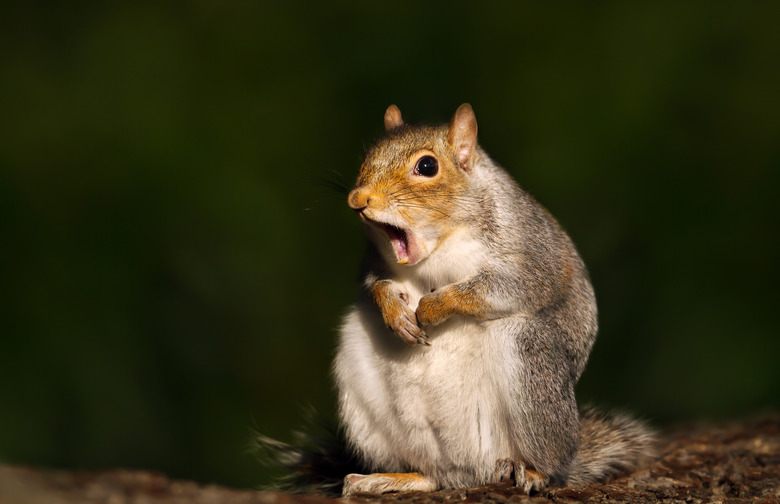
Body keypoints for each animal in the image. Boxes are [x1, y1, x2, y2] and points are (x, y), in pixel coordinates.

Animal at [332, 103, 656, 496]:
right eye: (368, 155)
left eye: (427, 166)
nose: (357, 198)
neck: (438, 248)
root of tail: (470, 471)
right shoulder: (373, 263)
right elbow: (375, 285)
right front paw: (395, 312)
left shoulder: (532, 259)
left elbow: (498, 289)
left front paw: (433, 308)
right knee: (431, 476)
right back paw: (389, 478)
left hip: (530, 362)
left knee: (552, 466)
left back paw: (532, 472)